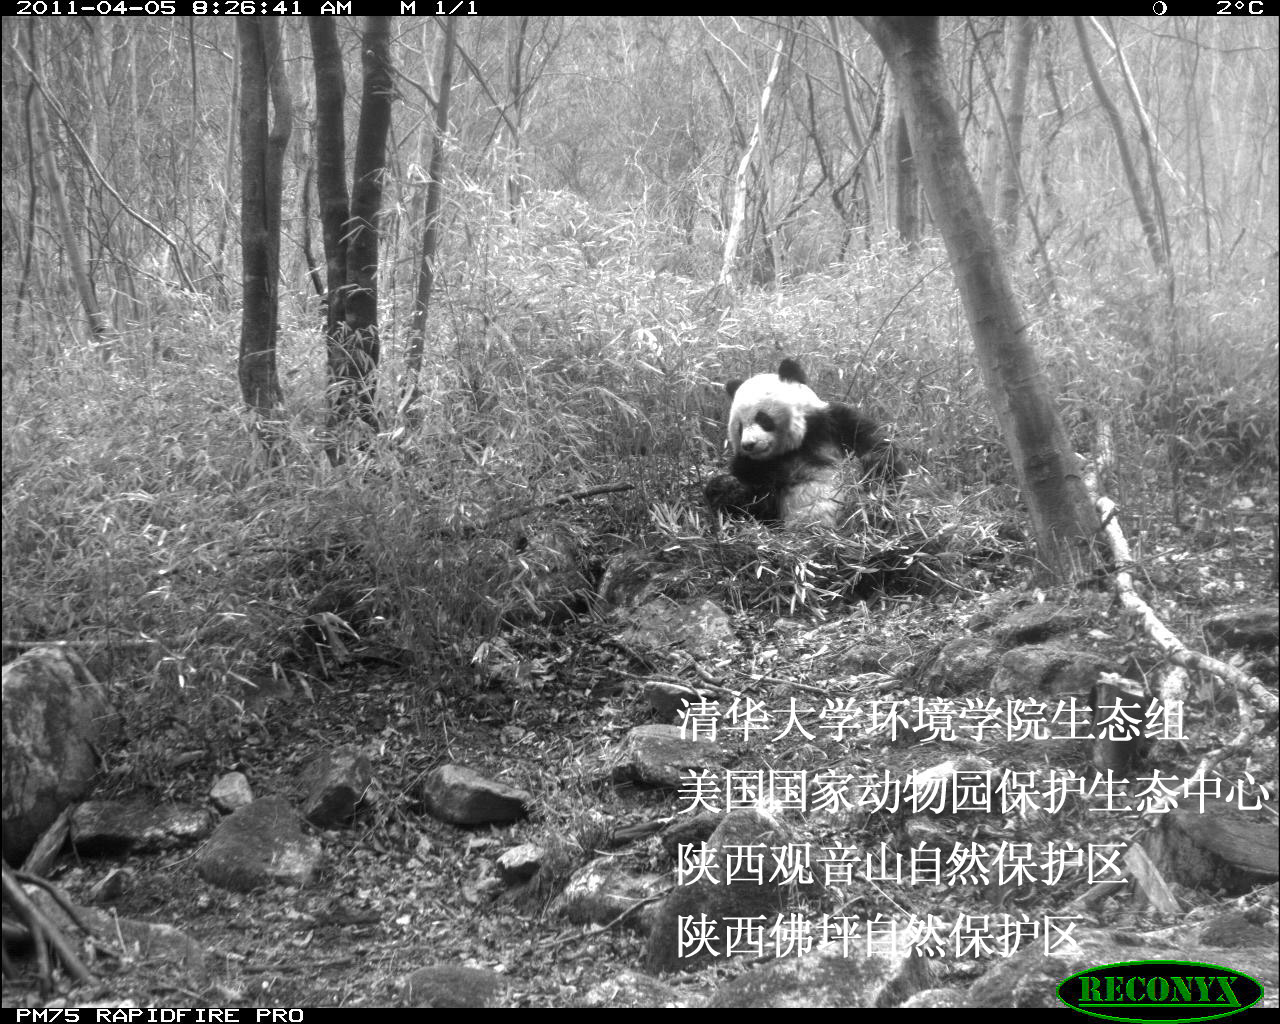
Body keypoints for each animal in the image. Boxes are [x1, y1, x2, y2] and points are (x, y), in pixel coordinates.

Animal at [704, 358, 903, 528]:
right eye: (740, 427)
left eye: (762, 418)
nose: (748, 445)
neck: (794, 447)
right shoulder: (753, 465)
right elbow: (753, 502)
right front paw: (729, 486)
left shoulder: (830, 421)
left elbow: (874, 442)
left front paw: (871, 465)